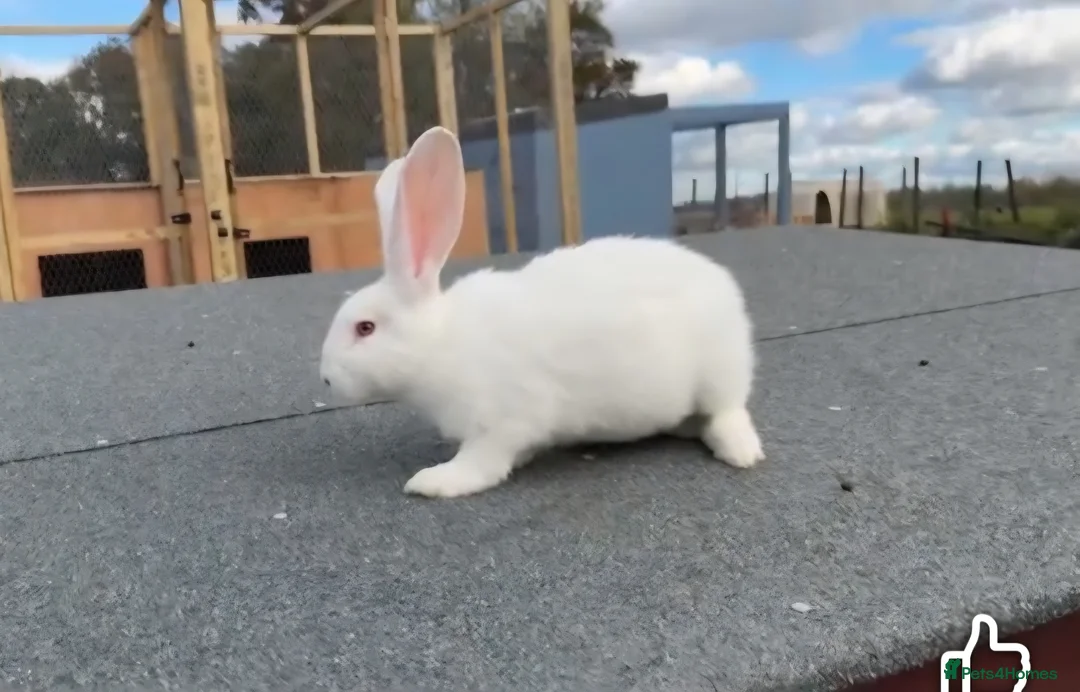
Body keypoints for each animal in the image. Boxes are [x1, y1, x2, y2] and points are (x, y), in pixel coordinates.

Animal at [319, 125, 765, 499]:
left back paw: (741, 452)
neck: (440, 342)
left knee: (728, 411)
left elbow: (483, 463)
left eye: (365, 328)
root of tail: (723, 284)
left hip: (719, 374)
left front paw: (434, 482)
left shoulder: (502, 422)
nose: (325, 378)